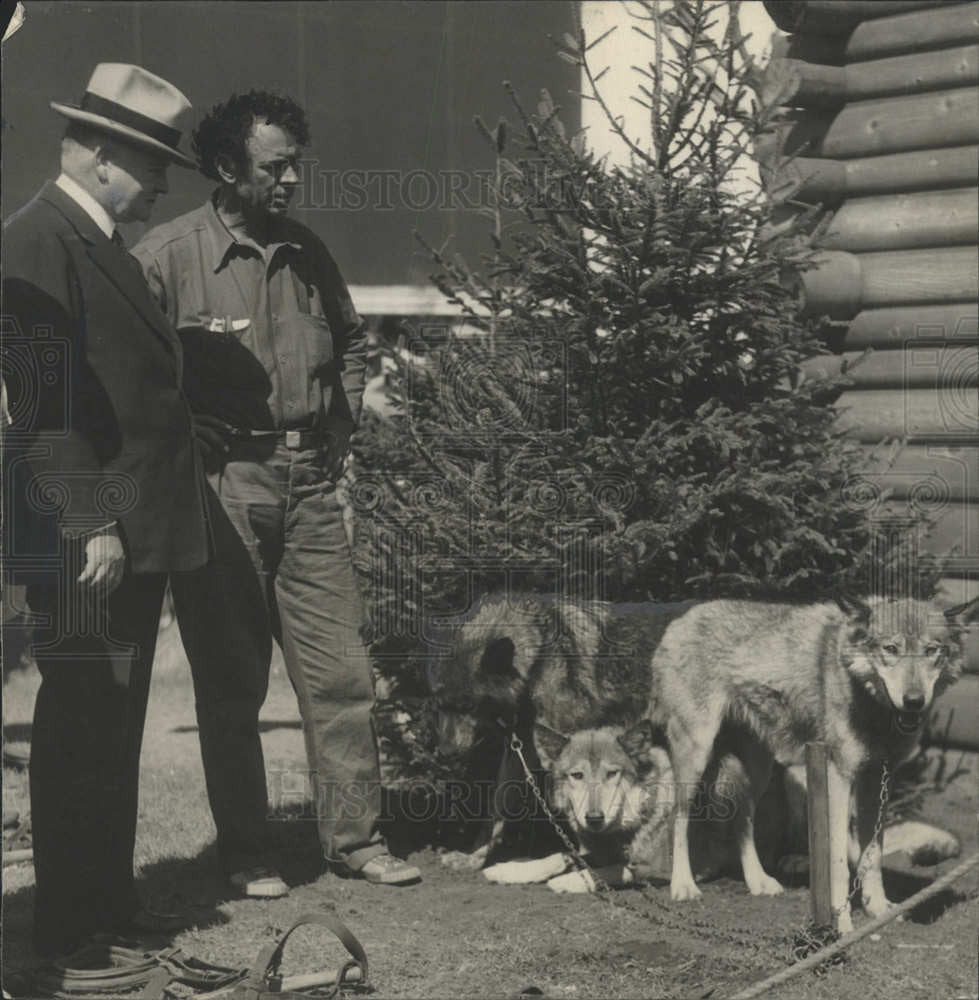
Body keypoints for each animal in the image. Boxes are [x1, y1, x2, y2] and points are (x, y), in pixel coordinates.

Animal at [652, 592, 972, 928]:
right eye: (891, 649)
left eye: (931, 651)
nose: (913, 701)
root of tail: (680, 620)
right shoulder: (838, 777)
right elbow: (839, 863)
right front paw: (842, 925)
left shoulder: (877, 780)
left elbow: (873, 856)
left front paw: (879, 910)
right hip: (696, 757)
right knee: (678, 818)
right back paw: (683, 885)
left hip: (760, 770)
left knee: (742, 819)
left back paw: (758, 881)